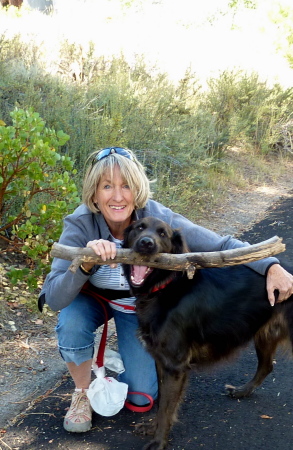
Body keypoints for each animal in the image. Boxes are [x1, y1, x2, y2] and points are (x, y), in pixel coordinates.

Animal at [122, 216, 292, 448]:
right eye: (139, 228)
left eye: (163, 234)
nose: (146, 243)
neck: (164, 287)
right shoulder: (161, 361)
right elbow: (161, 403)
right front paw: (152, 428)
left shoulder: (175, 366)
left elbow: (166, 407)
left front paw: (159, 441)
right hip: (264, 334)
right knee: (266, 366)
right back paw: (242, 391)